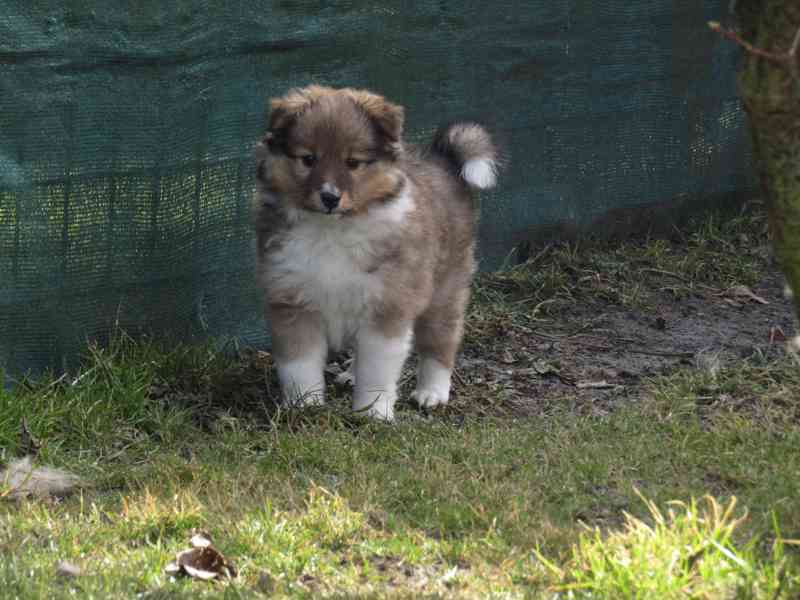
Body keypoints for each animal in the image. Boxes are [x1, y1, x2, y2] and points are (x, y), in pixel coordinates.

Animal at [255, 85, 500, 422]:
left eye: (353, 163)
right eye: (308, 159)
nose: (329, 197)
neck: (332, 229)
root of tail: (443, 161)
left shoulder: (388, 305)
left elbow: (377, 369)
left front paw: (372, 413)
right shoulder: (291, 302)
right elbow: (298, 365)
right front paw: (304, 406)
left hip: (445, 289)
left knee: (441, 342)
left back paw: (432, 393)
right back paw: (350, 375)